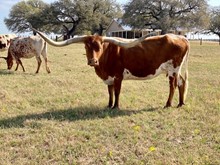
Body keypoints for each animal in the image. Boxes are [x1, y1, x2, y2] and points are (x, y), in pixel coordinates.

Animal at [32, 28, 189, 108]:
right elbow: (110, 92)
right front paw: (109, 105)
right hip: (177, 69)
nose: (93, 61)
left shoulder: (118, 76)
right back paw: (181, 103)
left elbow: (117, 92)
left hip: (172, 69)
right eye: (86, 47)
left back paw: (168, 104)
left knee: (173, 85)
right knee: (182, 83)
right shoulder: (108, 78)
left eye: (100, 46)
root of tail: (181, 38)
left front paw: (116, 106)